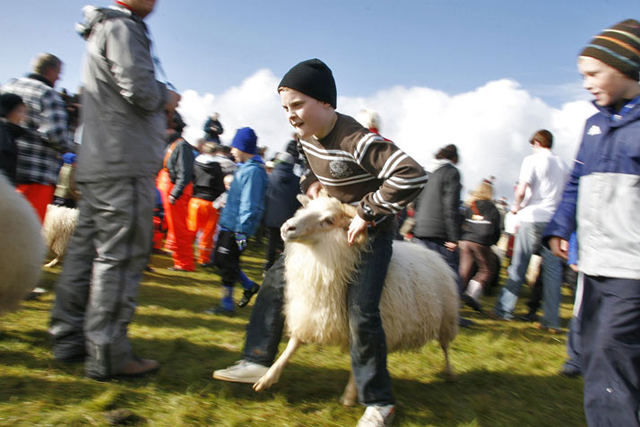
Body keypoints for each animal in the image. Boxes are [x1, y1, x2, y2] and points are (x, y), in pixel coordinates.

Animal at [252, 196, 458, 406]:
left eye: (329, 220)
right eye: (306, 208)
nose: (287, 228)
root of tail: (434, 254)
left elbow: (363, 354)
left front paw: (349, 396)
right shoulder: (312, 310)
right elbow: (293, 345)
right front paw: (267, 377)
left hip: (447, 319)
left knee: (445, 346)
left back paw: (449, 372)